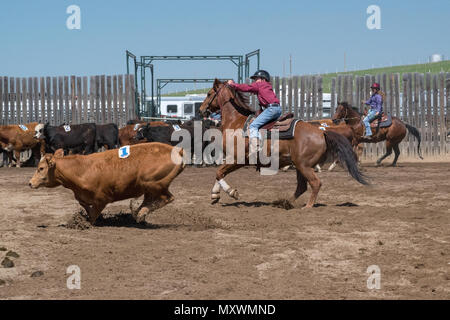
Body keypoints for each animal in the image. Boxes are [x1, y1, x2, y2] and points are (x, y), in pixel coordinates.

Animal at [29, 144, 185, 224]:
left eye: (41, 168)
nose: (30, 183)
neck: (82, 169)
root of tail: (178, 151)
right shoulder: (82, 196)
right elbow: (84, 204)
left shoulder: (102, 199)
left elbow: (93, 215)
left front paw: (86, 223)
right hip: (149, 187)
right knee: (150, 199)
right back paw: (137, 213)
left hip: (153, 183)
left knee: (167, 198)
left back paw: (141, 213)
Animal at [199, 80, 368, 208]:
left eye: (209, 94)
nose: (201, 110)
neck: (236, 123)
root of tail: (322, 132)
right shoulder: (232, 159)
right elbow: (219, 174)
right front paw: (215, 195)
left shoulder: (237, 159)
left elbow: (219, 173)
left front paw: (231, 192)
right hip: (300, 166)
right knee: (302, 187)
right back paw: (285, 202)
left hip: (303, 165)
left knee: (315, 183)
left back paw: (307, 206)